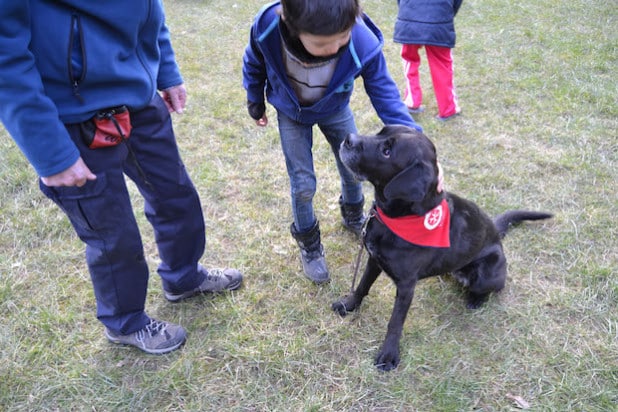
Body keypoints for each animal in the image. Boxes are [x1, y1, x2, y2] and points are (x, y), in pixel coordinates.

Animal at [334, 124, 552, 372]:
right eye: (381, 131)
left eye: (387, 152)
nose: (348, 139)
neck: (399, 219)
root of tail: (496, 233)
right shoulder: (374, 259)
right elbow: (362, 286)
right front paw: (349, 305)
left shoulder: (406, 286)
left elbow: (395, 322)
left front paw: (389, 354)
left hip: (487, 274)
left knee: (493, 288)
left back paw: (476, 299)